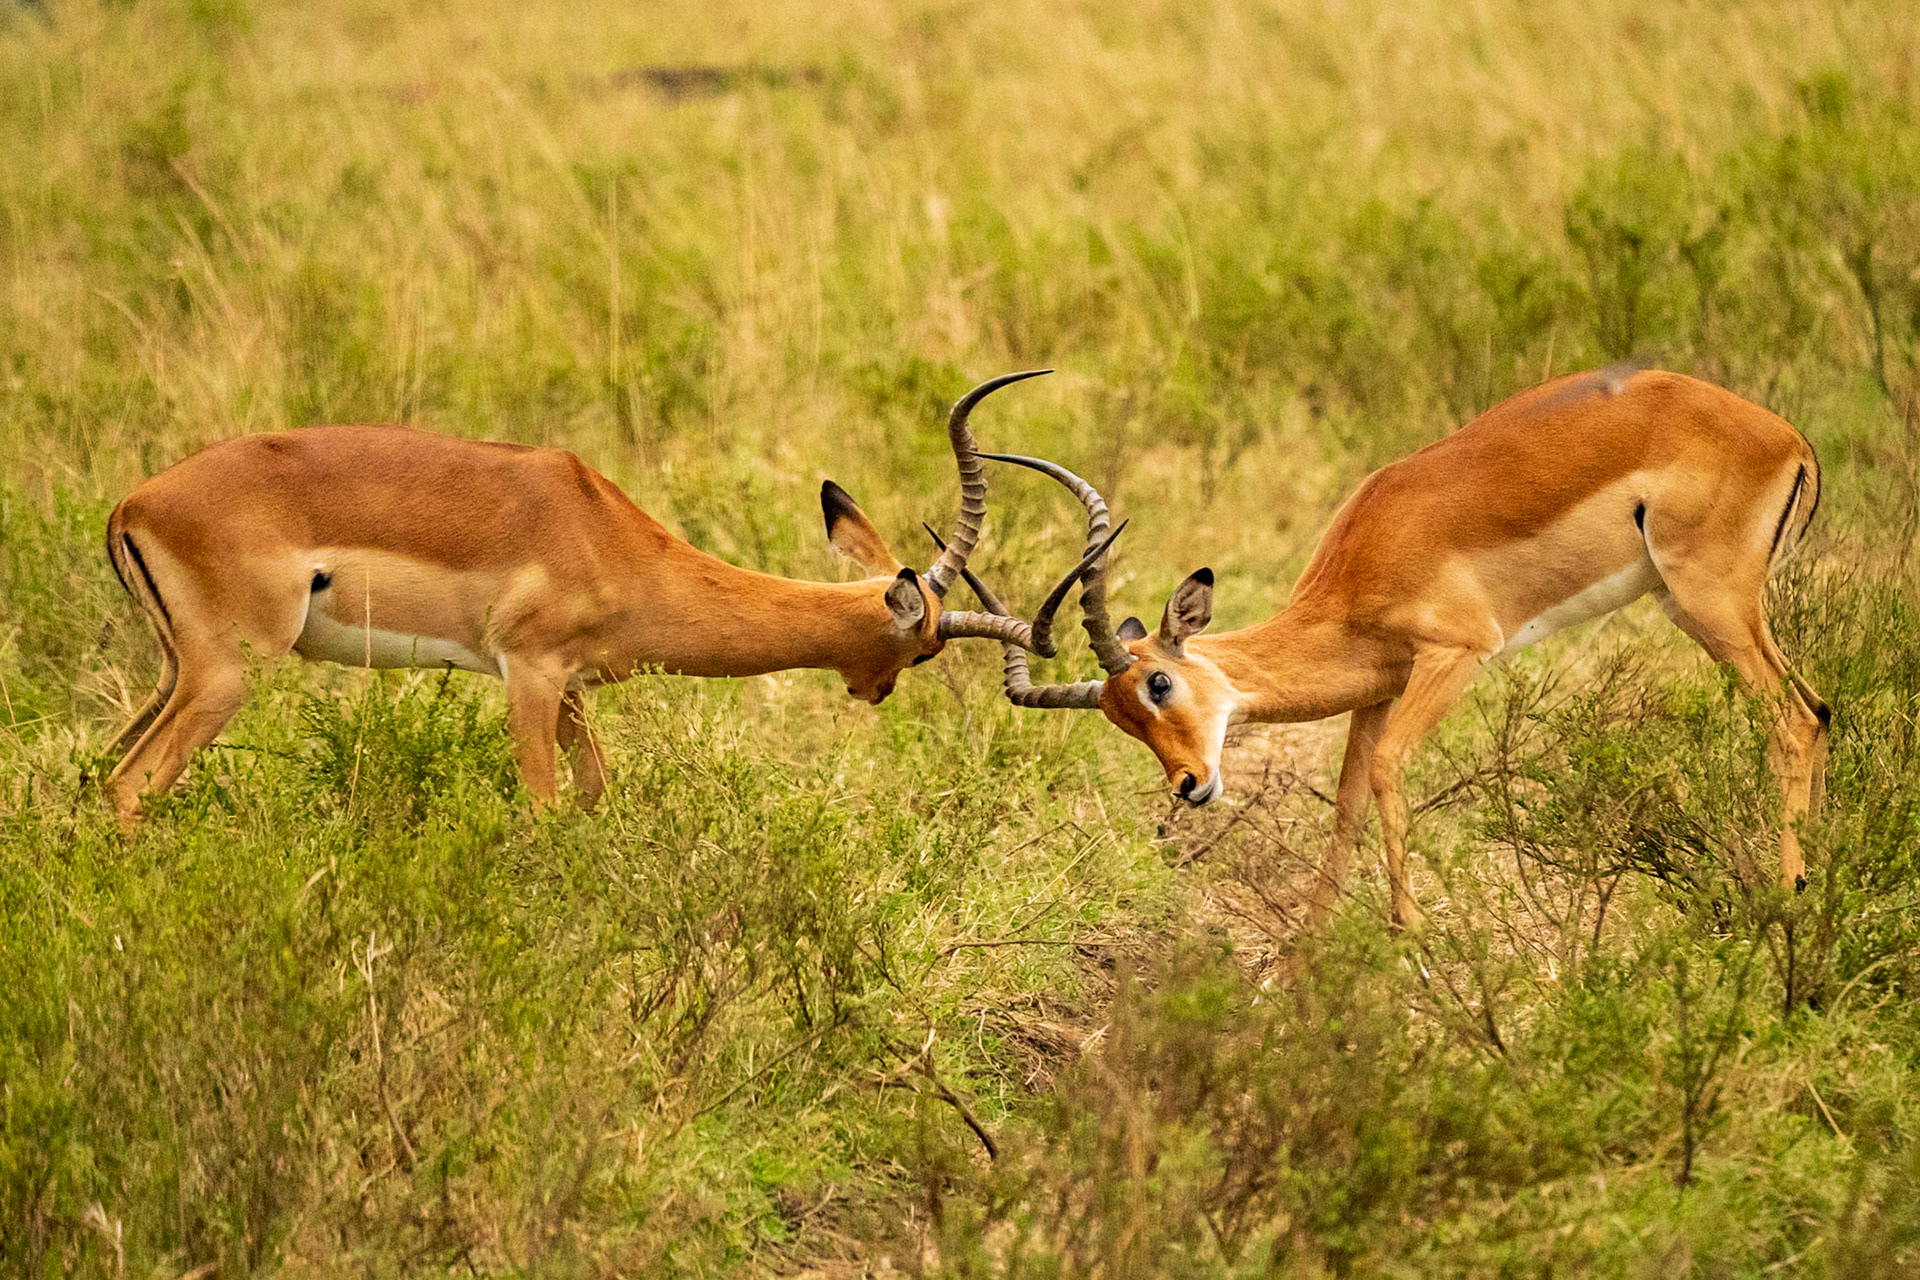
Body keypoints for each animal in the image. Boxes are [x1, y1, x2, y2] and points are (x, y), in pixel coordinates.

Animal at [101, 371, 1076, 825]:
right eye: (925, 646)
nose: (874, 692)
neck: (607, 535)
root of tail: (133, 504)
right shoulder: (528, 673)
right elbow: (541, 804)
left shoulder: (568, 686)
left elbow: (596, 789)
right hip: (229, 674)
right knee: (127, 787)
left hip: (174, 673)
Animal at [957, 367, 1831, 932]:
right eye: (1119, 720)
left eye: (1159, 685)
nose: (1190, 785)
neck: (1362, 563)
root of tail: (1789, 438)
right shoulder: (1378, 688)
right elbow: (1345, 806)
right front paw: (1303, 958)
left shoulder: (1455, 655)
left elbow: (1387, 771)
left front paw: (1409, 930)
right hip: (1700, 609)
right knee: (1819, 709)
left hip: (1711, 603)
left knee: (1790, 719)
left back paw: (1790, 891)